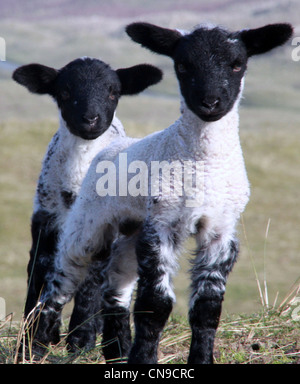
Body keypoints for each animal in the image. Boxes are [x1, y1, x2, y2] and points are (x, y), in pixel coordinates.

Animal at [11, 55, 163, 352]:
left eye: (113, 92)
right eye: (64, 92)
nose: (91, 119)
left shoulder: (103, 231)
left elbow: (91, 282)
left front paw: (81, 339)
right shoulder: (45, 220)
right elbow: (38, 271)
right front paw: (31, 338)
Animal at [29, 21, 292, 364]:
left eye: (237, 64)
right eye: (182, 65)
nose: (210, 102)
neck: (201, 166)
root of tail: (111, 144)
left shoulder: (220, 230)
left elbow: (208, 308)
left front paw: (200, 359)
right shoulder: (162, 224)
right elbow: (155, 305)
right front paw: (143, 360)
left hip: (130, 230)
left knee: (116, 287)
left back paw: (116, 352)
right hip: (88, 222)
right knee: (59, 279)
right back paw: (37, 345)